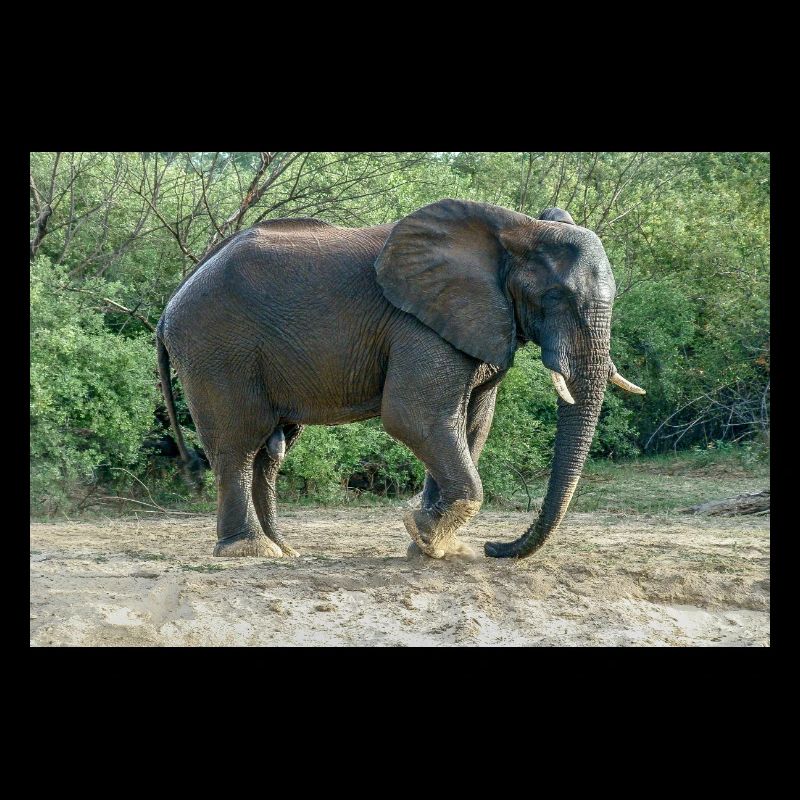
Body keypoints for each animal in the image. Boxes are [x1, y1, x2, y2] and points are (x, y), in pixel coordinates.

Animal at [156, 199, 644, 561]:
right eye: (556, 297)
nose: (494, 547)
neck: (517, 229)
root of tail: (169, 304)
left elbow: (470, 426)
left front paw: (434, 545)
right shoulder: (419, 324)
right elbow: (415, 417)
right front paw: (425, 535)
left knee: (270, 451)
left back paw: (284, 549)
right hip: (216, 347)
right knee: (239, 442)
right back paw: (251, 551)